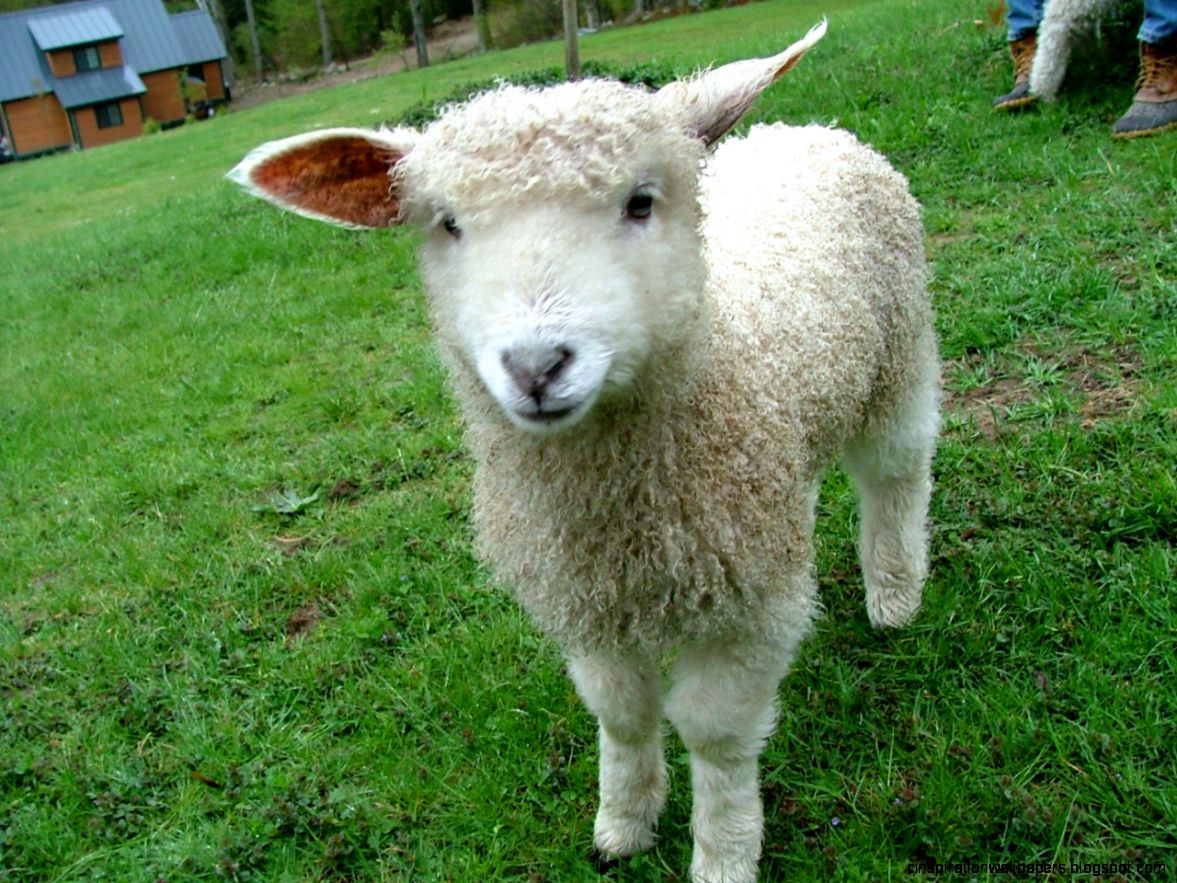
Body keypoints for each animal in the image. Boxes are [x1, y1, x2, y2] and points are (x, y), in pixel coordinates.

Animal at [228, 19, 939, 882]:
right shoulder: (590, 599)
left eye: (639, 201)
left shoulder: (746, 614)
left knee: (895, 472)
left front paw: (723, 848)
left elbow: (715, 735)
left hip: (899, 354)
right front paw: (623, 821)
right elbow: (623, 714)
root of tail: (804, 129)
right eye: (447, 224)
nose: (537, 366)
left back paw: (894, 597)